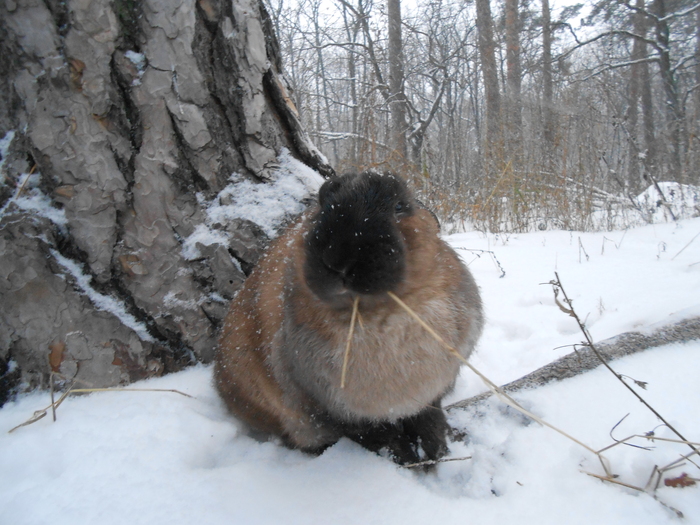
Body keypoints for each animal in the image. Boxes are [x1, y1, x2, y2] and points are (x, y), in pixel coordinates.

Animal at [216, 170, 484, 464]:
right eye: (322, 205)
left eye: (400, 207)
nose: (338, 259)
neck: (385, 317)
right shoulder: (335, 411)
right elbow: (378, 436)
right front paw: (408, 458)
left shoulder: (431, 393)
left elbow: (429, 417)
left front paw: (438, 448)